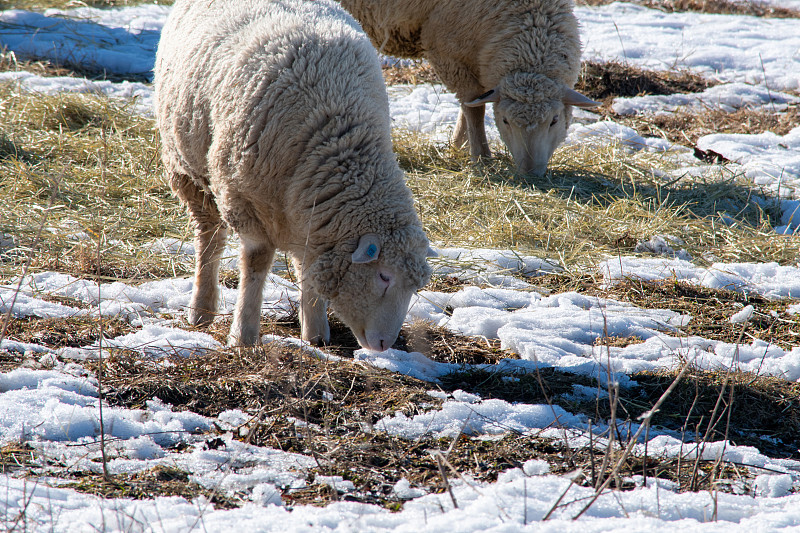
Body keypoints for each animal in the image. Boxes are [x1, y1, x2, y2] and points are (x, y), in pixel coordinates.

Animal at [154, 0, 434, 350]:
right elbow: (256, 263)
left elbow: (308, 266)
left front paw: (314, 333)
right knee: (209, 239)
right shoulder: (244, 200)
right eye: (384, 276)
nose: (384, 344)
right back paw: (201, 309)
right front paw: (243, 334)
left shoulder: (312, 215)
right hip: (187, 168)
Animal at [340, 0, 600, 175]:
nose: (530, 174)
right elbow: (473, 107)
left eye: (555, 120)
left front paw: (458, 145)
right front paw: (481, 157)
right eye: (504, 121)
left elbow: (472, 103)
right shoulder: (447, 54)